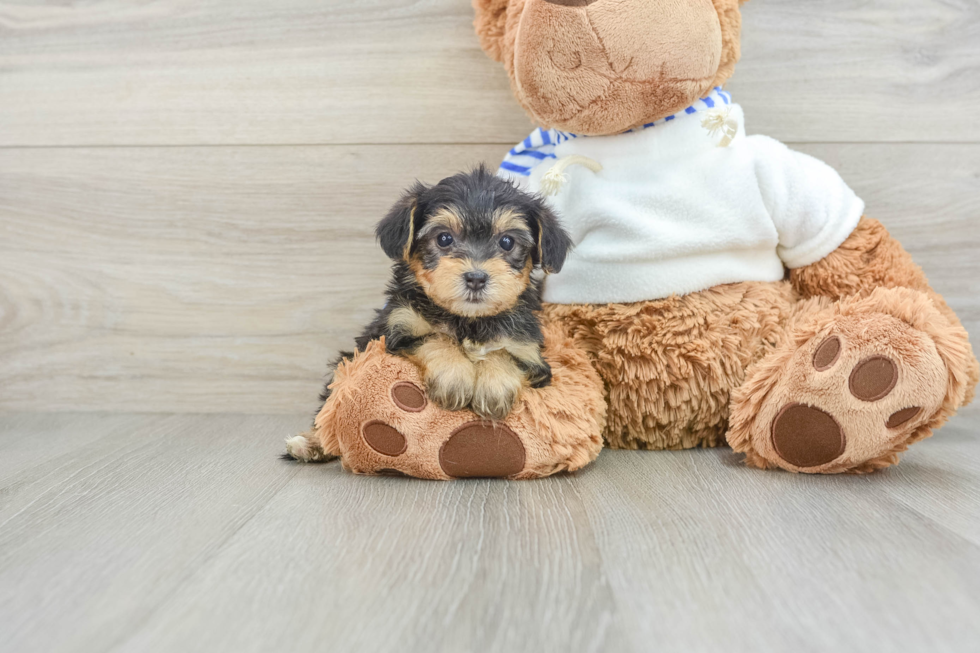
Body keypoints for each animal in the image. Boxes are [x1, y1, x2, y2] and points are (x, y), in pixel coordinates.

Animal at [322, 166, 572, 420]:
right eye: (444, 238)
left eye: (507, 242)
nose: (476, 278)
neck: (469, 320)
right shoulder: (395, 330)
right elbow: (436, 338)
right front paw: (454, 377)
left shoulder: (529, 353)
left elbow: (506, 354)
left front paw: (494, 386)